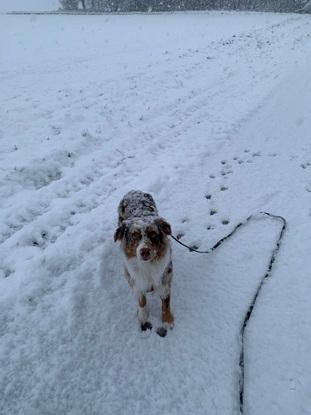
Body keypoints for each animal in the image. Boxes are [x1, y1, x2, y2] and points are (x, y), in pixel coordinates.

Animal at [114, 192, 174, 334]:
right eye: (134, 235)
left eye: (153, 234)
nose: (144, 251)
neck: (148, 266)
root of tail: (133, 190)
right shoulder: (133, 279)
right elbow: (141, 300)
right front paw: (143, 316)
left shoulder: (165, 277)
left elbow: (166, 302)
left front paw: (167, 320)